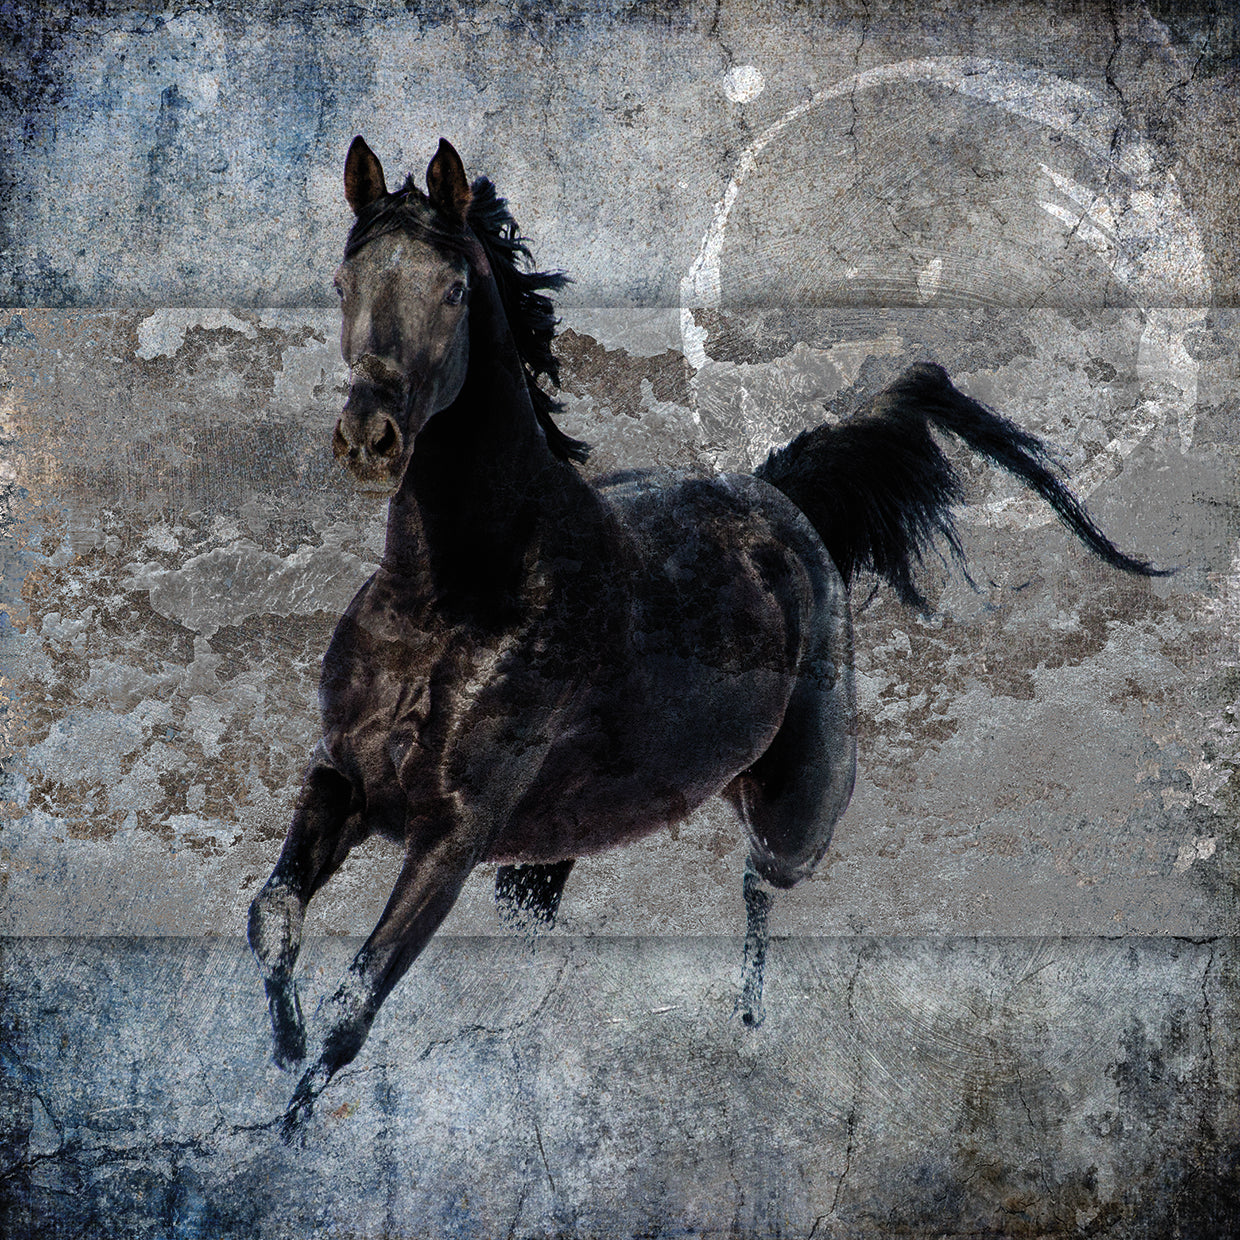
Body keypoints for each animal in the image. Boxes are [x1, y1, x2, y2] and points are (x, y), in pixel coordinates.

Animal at [247, 136, 1165, 1138]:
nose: (368, 439)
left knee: (761, 883)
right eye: (344, 281)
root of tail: (779, 496)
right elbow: (275, 920)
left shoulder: (453, 833)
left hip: (799, 805)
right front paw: (280, 1041)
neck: (452, 598)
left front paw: (283, 1123)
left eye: (452, 289)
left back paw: (749, 1029)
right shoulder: (342, 779)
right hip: (551, 847)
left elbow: (357, 999)